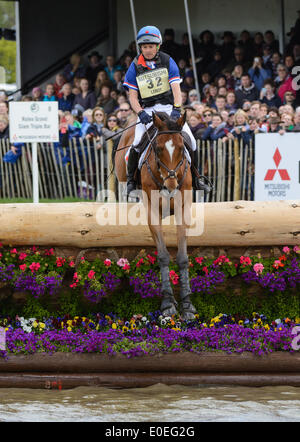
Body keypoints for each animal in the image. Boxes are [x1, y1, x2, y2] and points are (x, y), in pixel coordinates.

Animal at [112, 109, 197, 318]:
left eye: (182, 147)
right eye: (158, 149)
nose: (171, 186)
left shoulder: (183, 210)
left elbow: (182, 257)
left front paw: (186, 304)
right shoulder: (152, 212)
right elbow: (163, 256)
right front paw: (168, 304)